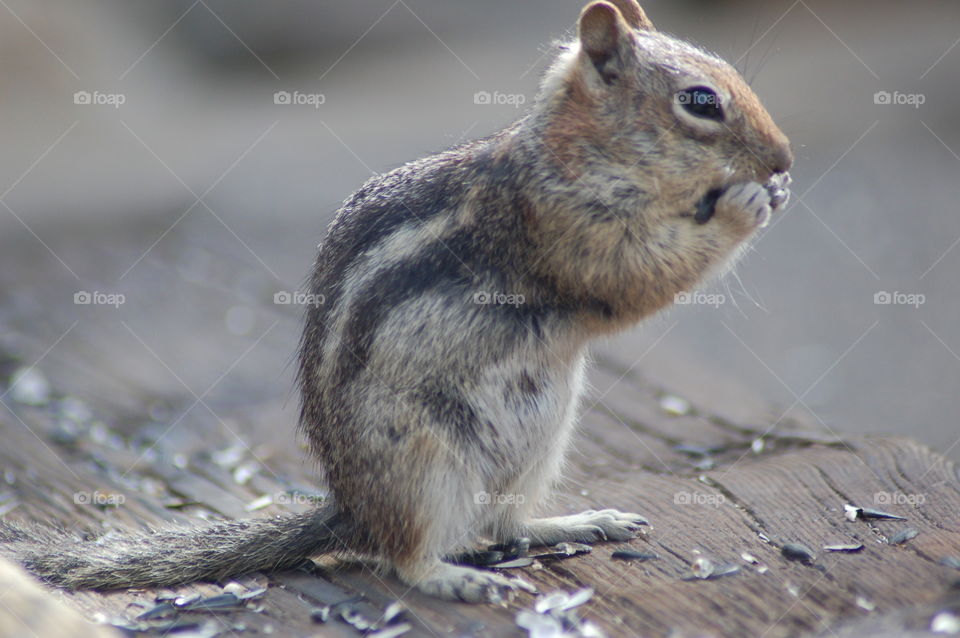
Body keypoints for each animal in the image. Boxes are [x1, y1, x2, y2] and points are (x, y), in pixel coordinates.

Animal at [0, 0, 791, 604]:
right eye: (700, 102)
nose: (785, 160)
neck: (575, 156)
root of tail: (352, 510)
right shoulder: (564, 231)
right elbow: (640, 276)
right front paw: (746, 206)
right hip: (426, 462)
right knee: (408, 556)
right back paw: (458, 579)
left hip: (540, 442)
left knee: (502, 526)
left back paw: (573, 524)